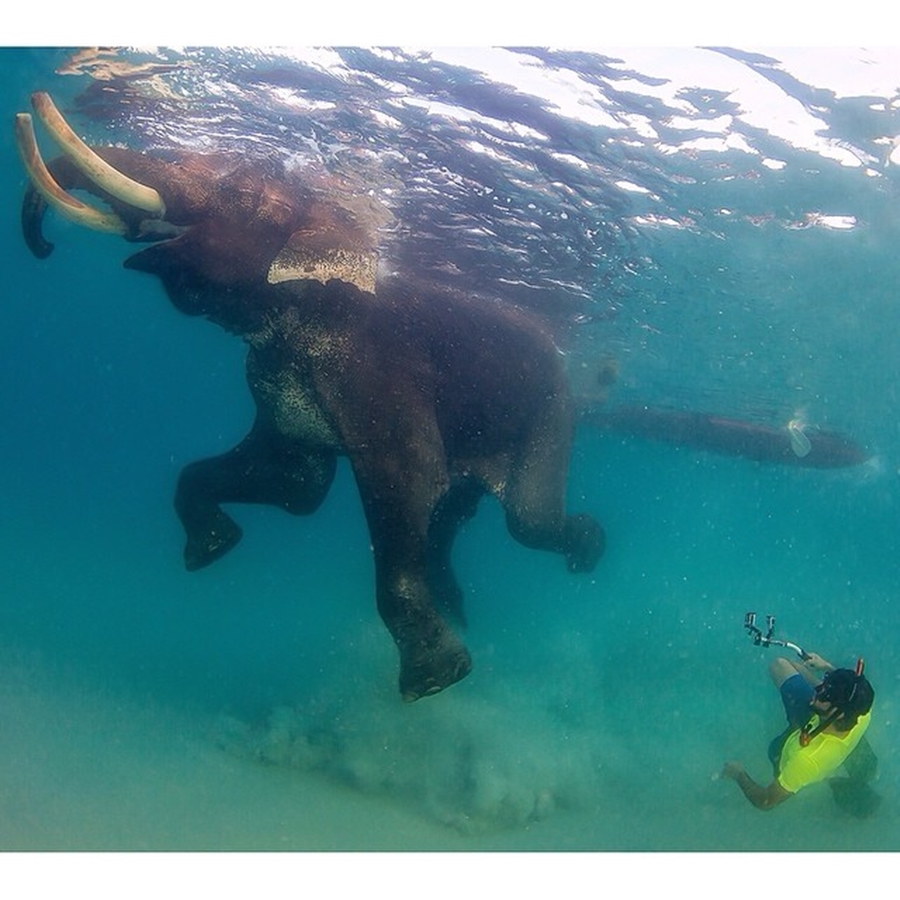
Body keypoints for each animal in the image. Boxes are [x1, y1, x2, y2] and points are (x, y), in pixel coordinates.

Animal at [15, 95, 604, 708]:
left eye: (239, 191)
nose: (45, 245)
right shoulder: (272, 381)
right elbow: (299, 484)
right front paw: (212, 549)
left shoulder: (380, 369)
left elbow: (410, 478)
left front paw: (436, 680)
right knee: (460, 507)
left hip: (553, 407)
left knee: (526, 518)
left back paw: (587, 549)